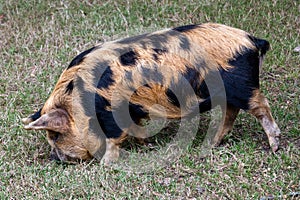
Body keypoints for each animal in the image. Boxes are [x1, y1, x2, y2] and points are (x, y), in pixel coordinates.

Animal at [22, 23, 280, 164]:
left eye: (55, 135)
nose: (55, 159)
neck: (79, 102)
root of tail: (251, 40)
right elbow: (137, 128)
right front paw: (146, 144)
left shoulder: (112, 112)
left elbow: (114, 138)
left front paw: (106, 165)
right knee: (231, 113)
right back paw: (212, 145)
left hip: (244, 86)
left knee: (260, 106)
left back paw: (274, 147)